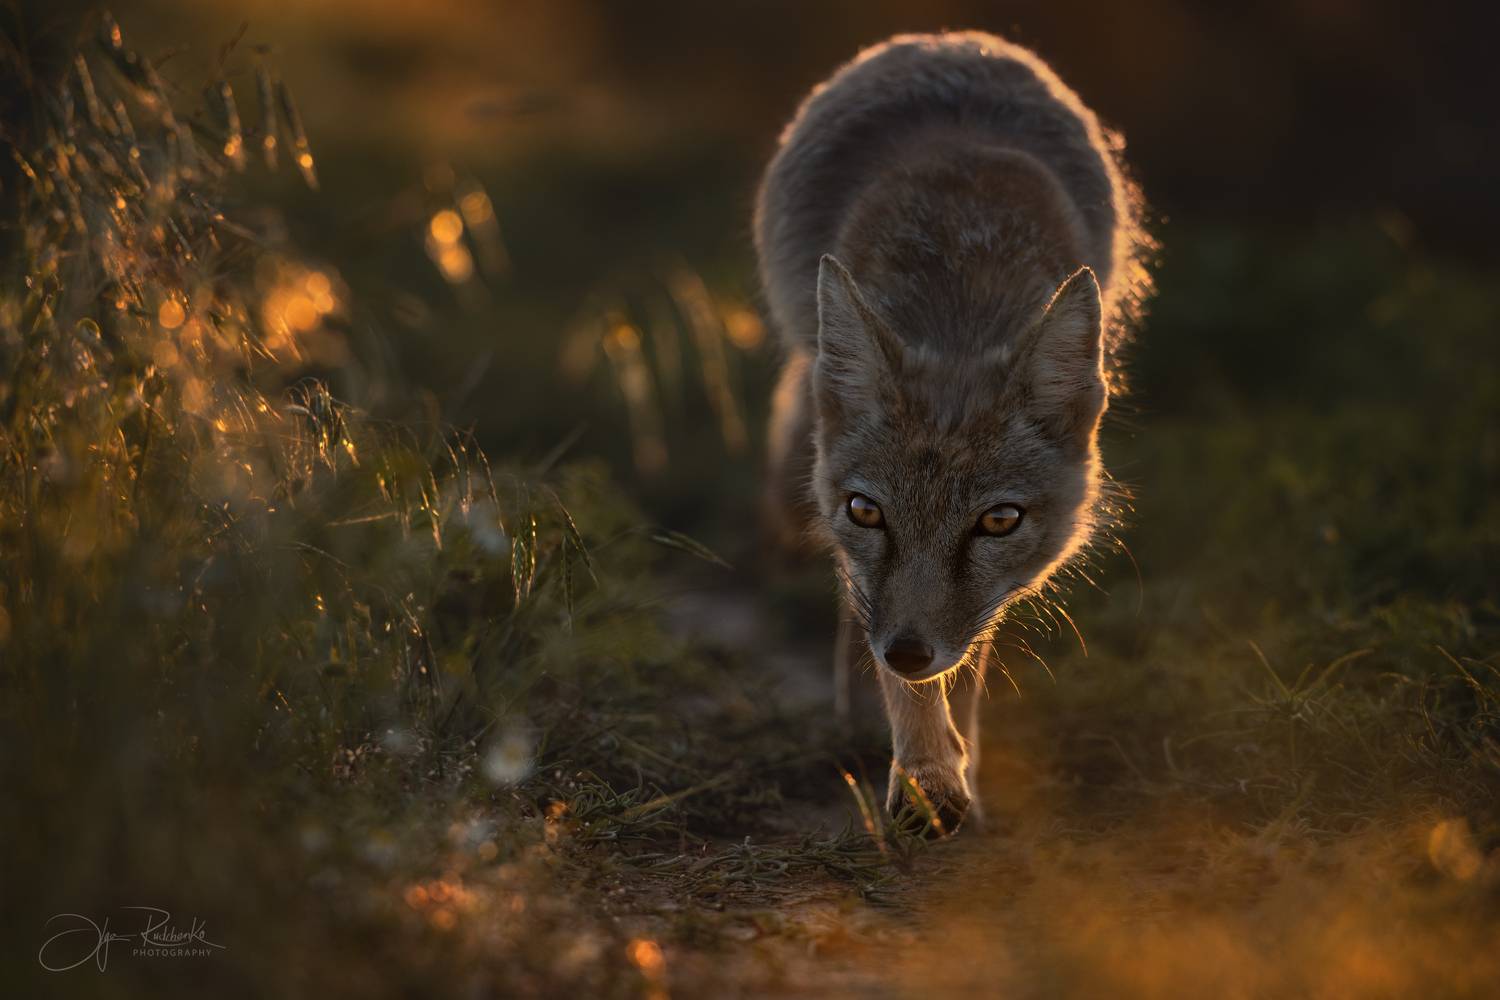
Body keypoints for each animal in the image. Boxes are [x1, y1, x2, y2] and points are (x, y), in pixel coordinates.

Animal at [754, 32, 1151, 833]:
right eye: (867, 512)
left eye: (998, 522)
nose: (908, 652)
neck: (960, 289)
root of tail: (943, 39)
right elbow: (896, 667)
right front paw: (926, 775)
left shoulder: (977, 597)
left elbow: (967, 658)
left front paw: (953, 760)